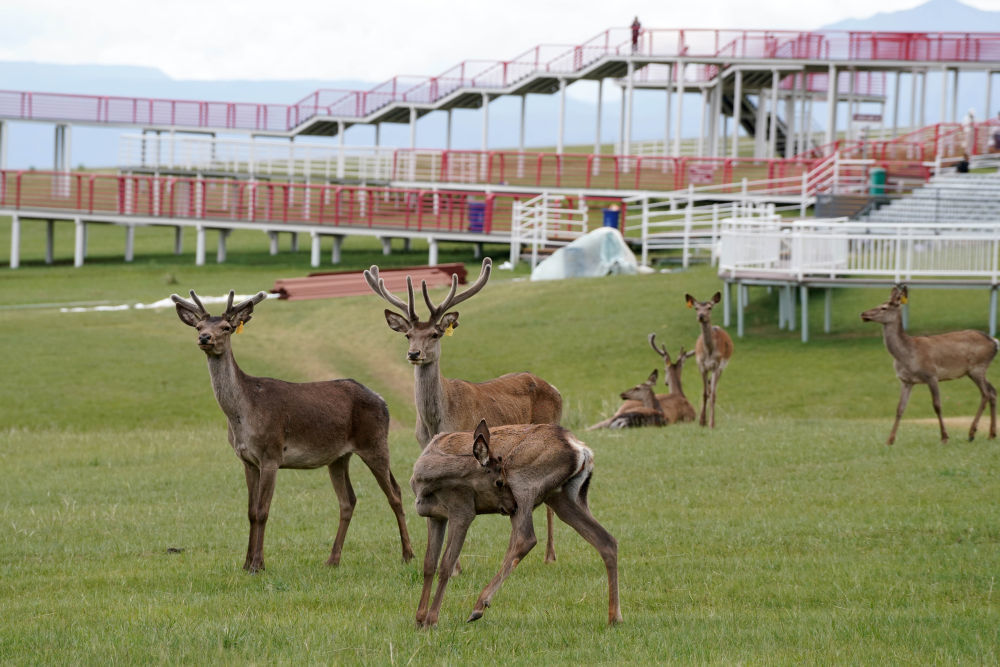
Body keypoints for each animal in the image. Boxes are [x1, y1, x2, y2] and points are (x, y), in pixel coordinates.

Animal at [170, 290, 412, 576]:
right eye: (198, 326)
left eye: (226, 327)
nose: (205, 338)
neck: (242, 413)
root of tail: (383, 401)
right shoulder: (247, 460)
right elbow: (250, 511)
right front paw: (246, 564)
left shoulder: (271, 453)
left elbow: (262, 511)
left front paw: (258, 565)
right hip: (339, 457)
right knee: (348, 500)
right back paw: (332, 560)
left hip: (374, 442)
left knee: (395, 493)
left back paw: (408, 555)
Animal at [364, 256, 564, 564]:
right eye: (408, 335)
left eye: (435, 334)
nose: (414, 354)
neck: (438, 420)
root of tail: (555, 389)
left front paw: (454, 564)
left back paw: (550, 555)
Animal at [410, 420, 620, 628]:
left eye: (501, 480)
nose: (512, 506)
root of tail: (582, 450)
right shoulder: (436, 516)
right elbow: (429, 563)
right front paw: (419, 618)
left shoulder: (462, 511)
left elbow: (446, 564)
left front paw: (432, 619)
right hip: (563, 496)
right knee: (607, 540)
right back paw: (614, 617)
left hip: (524, 486)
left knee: (525, 538)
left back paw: (479, 606)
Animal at [688, 292, 736, 428]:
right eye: (696, 308)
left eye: (710, 307)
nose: (701, 316)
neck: (709, 351)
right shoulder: (701, 366)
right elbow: (704, 393)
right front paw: (702, 421)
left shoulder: (716, 365)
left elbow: (714, 395)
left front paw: (711, 423)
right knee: (708, 389)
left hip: (722, 367)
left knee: (712, 390)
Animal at [860, 284, 1000, 446]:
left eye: (884, 307)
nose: (863, 314)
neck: (907, 355)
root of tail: (995, 342)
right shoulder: (906, 381)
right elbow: (900, 408)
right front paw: (890, 440)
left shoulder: (931, 375)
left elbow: (937, 405)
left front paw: (944, 437)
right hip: (977, 371)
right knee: (993, 391)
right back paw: (991, 434)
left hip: (977, 367)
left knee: (985, 393)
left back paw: (972, 433)